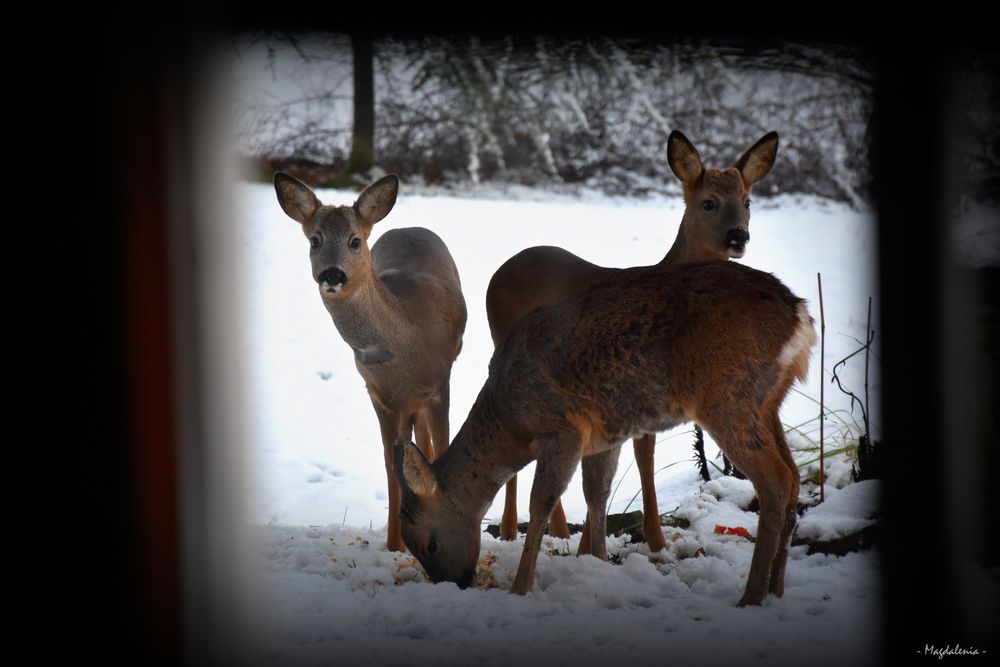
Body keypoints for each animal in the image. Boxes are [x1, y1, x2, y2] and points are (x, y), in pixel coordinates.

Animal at [274, 172, 468, 552]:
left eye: (354, 241)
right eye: (315, 240)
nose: (332, 275)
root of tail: (409, 226)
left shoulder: (440, 384)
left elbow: (441, 451)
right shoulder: (380, 397)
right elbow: (392, 470)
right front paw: (395, 546)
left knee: (428, 445)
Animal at [390, 258, 812, 608]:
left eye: (430, 544)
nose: (457, 583)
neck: (509, 420)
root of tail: (798, 316)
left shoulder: (562, 428)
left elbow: (541, 503)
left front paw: (521, 587)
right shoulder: (603, 437)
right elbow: (597, 496)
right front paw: (601, 566)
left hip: (727, 396)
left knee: (775, 481)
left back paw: (751, 596)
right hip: (768, 402)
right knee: (793, 477)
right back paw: (776, 590)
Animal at [486, 130, 780, 552]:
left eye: (747, 202)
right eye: (708, 202)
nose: (739, 235)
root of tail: (499, 271)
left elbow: (639, 455)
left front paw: (626, 543)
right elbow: (637, 457)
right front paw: (630, 544)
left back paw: (556, 531)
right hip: (500, 338)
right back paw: (511, 530)